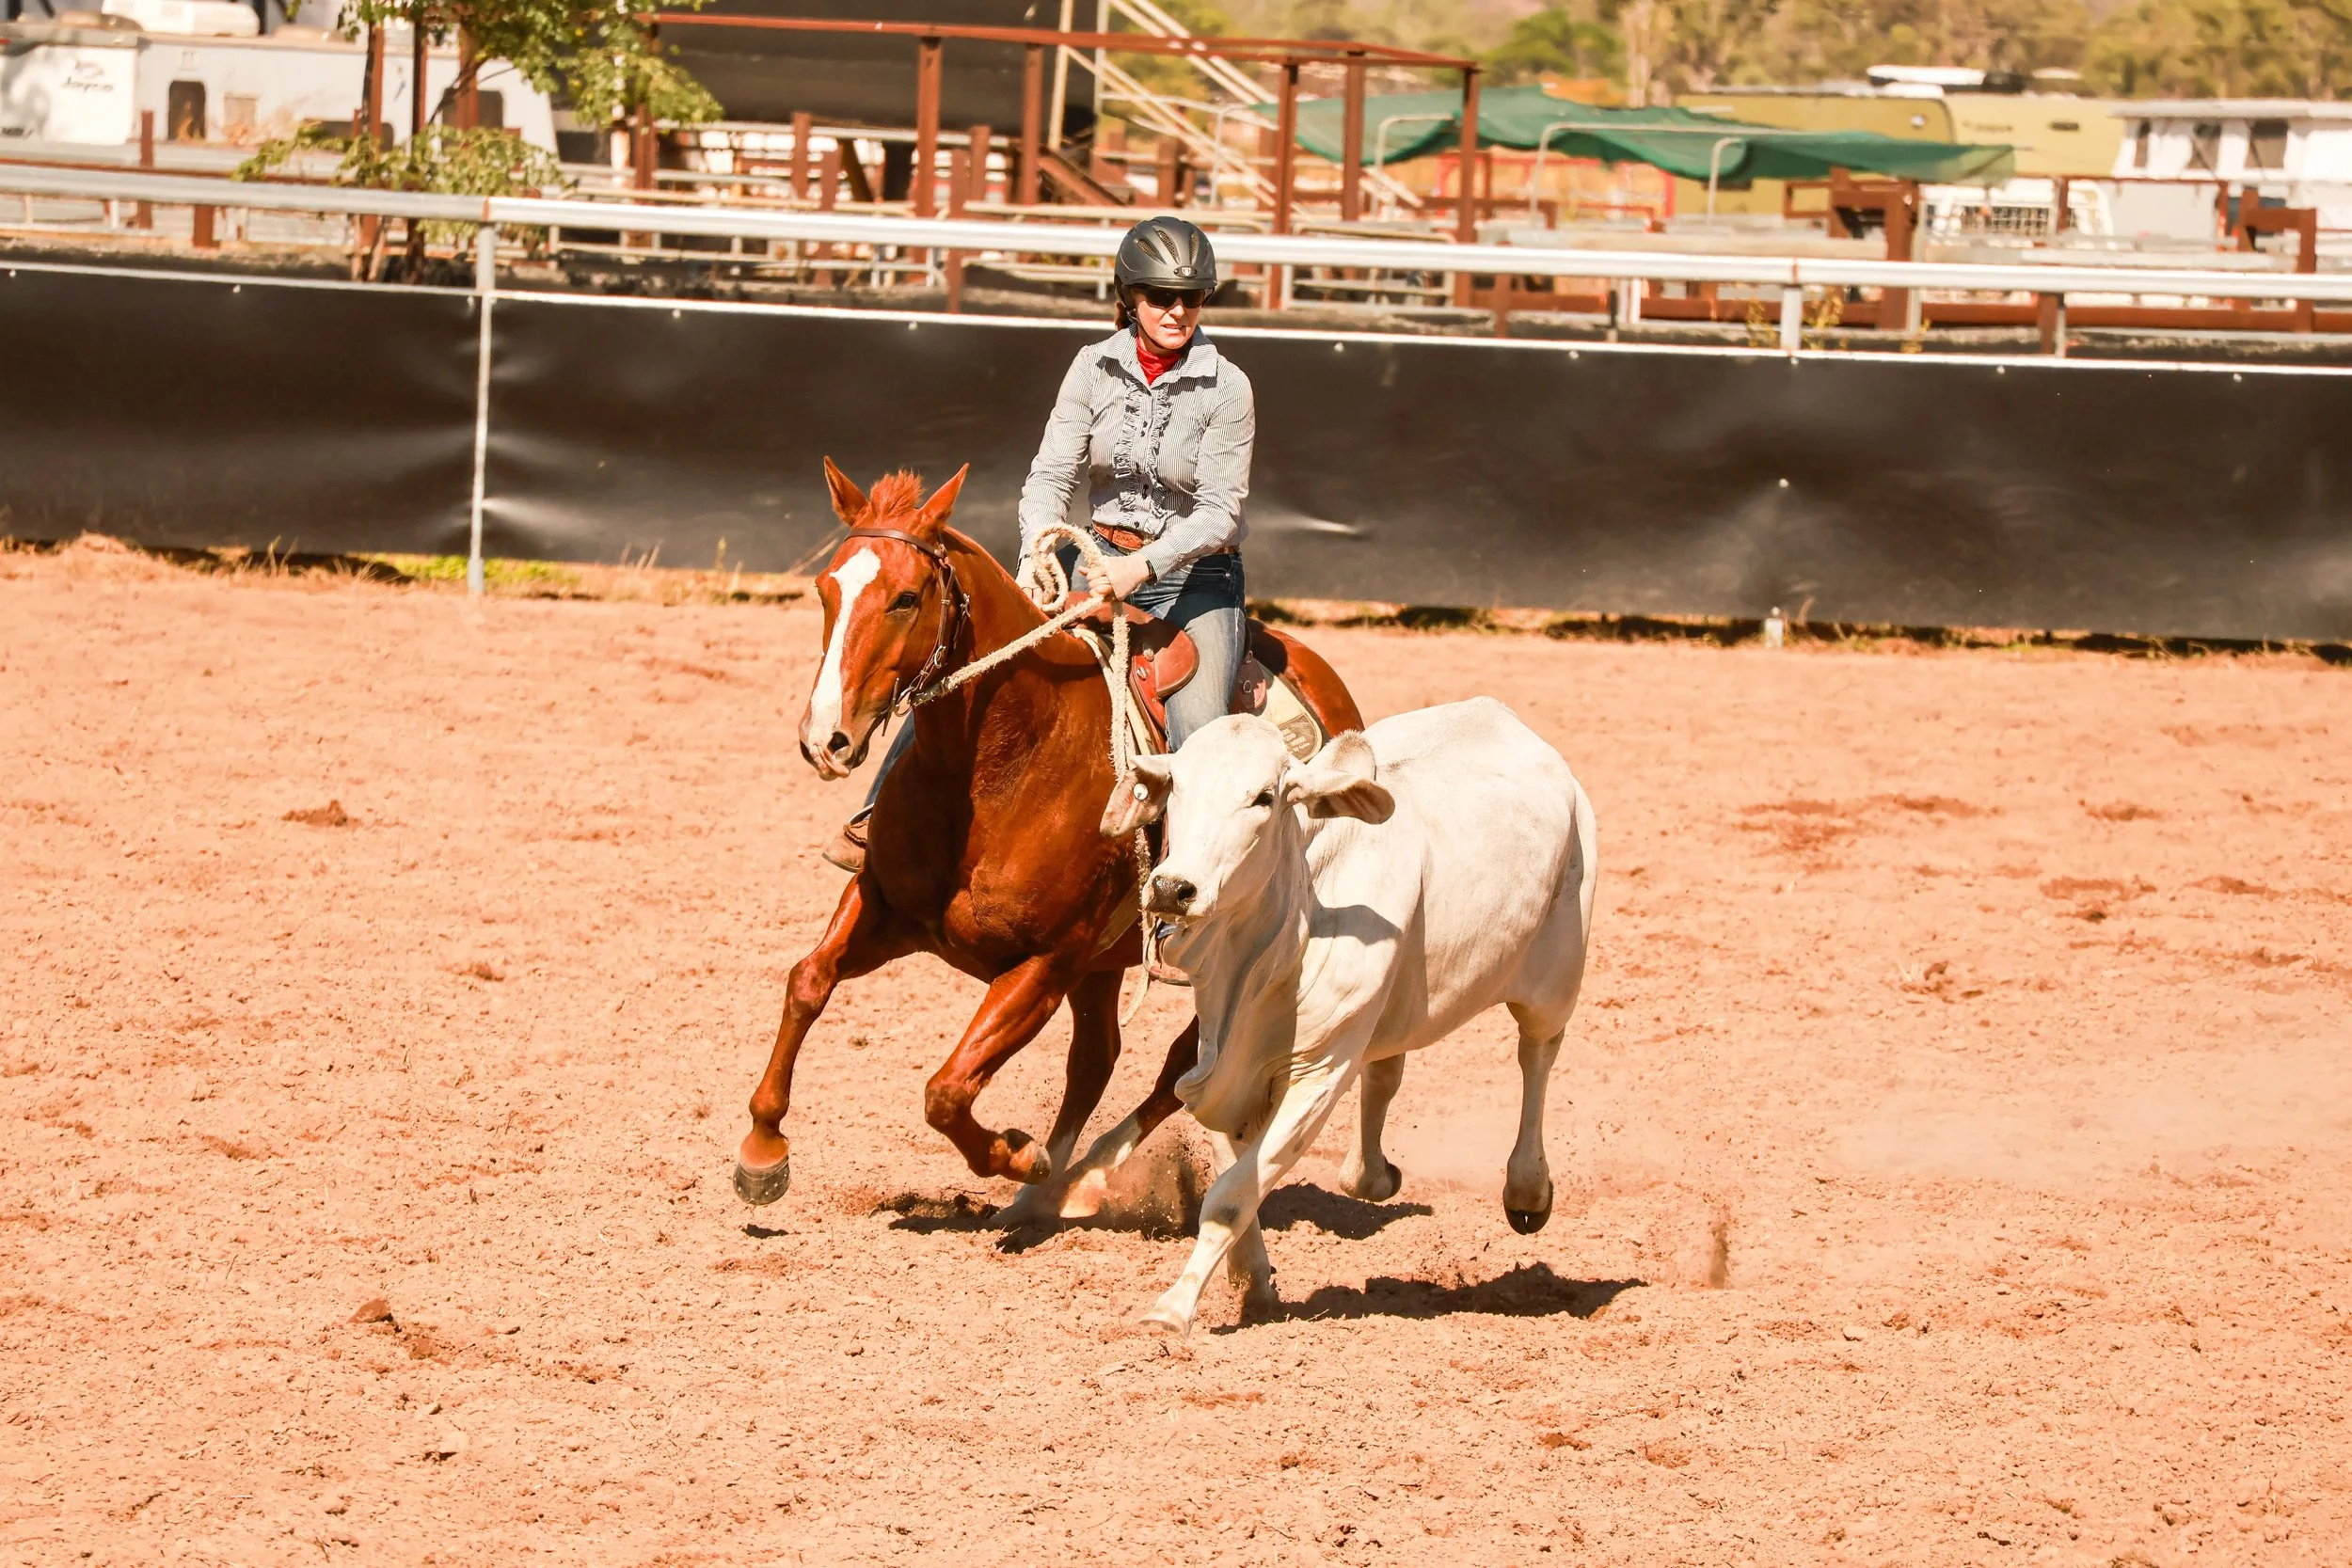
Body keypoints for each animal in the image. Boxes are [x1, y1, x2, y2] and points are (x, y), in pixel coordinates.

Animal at [732, 460, 1364, 1222]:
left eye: (907, 598)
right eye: (826, 589)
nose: (824, 739)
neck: (1005, 766)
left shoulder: (1044, 965)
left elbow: (947, 1090)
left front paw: (1018, 1154)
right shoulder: (885, 903)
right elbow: (807, 981)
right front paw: (762, 1149)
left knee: (1182, 1065)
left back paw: (1080, 1178)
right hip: (1104, 967)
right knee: (1098, 1057)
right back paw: (1044, 1193)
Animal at [1098, 697, 1598, 1337]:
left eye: (1264, 796)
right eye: (1176, 786)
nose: (1172, 888)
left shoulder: (1318, 1072)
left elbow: (1232, 1195)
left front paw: (1173, 1309)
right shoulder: (1225, 1065)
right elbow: (1235, 1170)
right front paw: (1253, 1280)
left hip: (1555, 981)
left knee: (1536, 1059)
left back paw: (1527, 1190)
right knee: (1385, 1076)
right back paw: (1375, 1173)